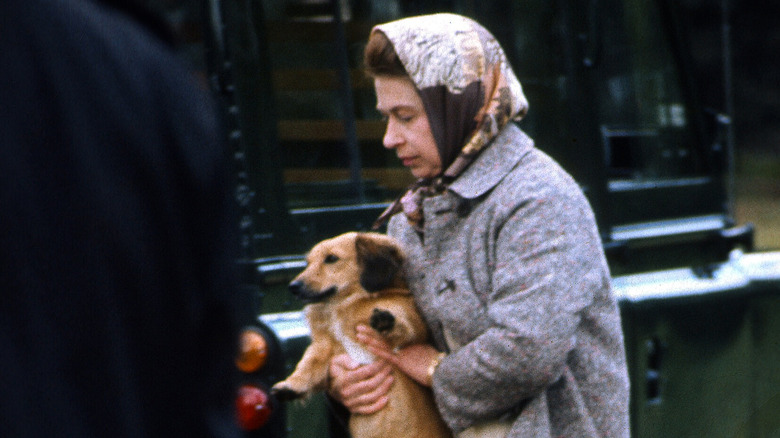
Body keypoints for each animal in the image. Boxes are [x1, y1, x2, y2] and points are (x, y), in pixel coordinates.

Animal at [272, 231, 450, 438]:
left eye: (331, 258)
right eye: (308, 262)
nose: (293, 286)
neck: (344, 305)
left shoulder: (412, 324)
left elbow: (405, 325)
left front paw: (386, 320)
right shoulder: (323, 347)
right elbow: (308, 364)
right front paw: (291, 385)